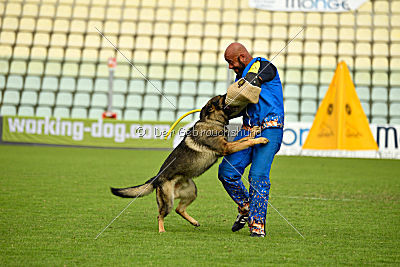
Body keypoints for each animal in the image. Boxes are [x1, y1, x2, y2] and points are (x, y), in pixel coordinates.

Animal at [111, 94, 268, 232]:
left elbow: (245, 138)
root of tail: (157, 178)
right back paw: (162, 230)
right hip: (168, 201)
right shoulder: (227, 148)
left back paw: (194, 222)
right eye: (221, 98)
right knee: (161, 214)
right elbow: (245, 142)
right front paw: (260, 139)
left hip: (192, 192)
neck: (211, 121)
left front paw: (255, 131)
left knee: (179, 209)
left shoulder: (227, 145)